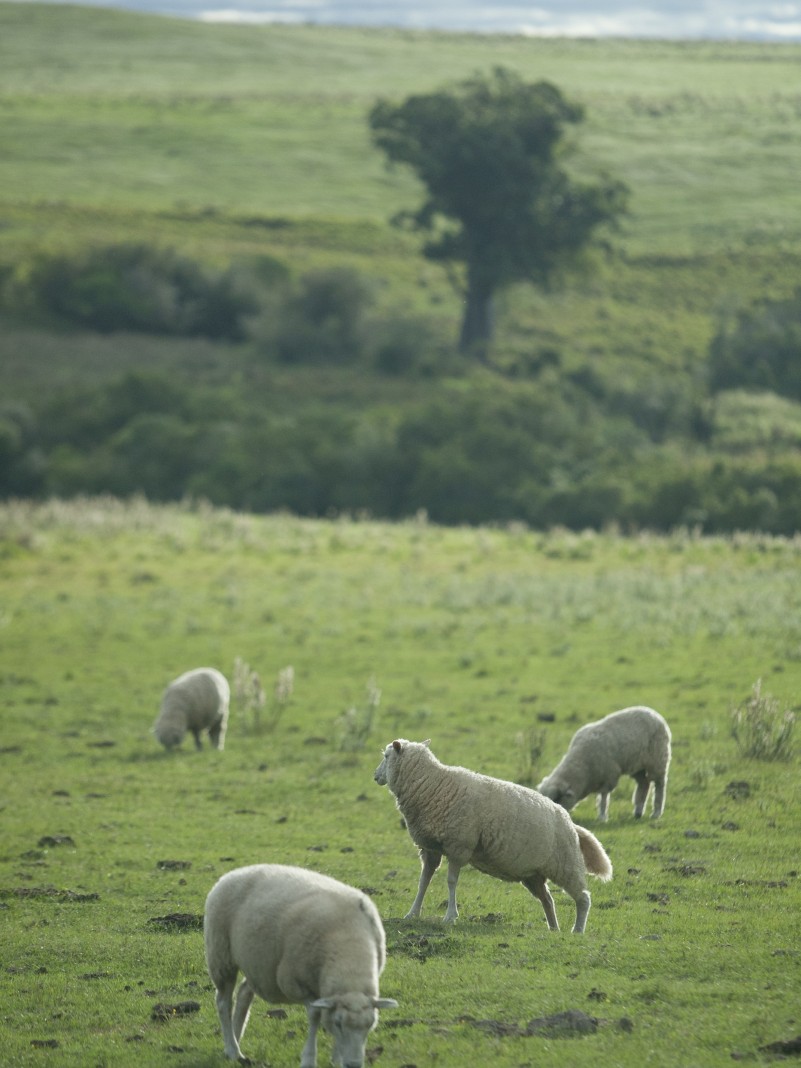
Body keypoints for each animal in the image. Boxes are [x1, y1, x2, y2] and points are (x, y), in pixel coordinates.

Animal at [203, 862, 399, 1063]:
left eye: (371, 1024)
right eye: (338, 1023)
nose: (353, 1065)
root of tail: (233, 873)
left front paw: (336, 1059)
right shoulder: (297, 983)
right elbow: (315, 1016)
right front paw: (309, 1058)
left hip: (258, 964)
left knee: (243, 994)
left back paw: (236, 1038)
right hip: (221, 956)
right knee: (224, 1003)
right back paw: (232, 1048)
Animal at [373, 734, 610, 935]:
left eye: (386, 756)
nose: (375, 776)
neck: (433, 786)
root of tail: (571, 824)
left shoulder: (459, 846)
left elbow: (451, 881)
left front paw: (450, 916)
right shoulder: (430, 848)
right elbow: (423, 881)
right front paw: (412, 913)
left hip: (566, 865)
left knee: (583, 898)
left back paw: (577, 930)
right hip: (533, 874)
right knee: (548, 899)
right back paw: (553, 928)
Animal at [536, 704, 674, 820]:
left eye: (557, 799)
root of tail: (653, 712)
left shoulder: (609, 775)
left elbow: (603, 797)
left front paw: (602, 817)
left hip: (658, 759)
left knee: (660, 784)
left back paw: (656, 813)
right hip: (637, 766)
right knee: (644, 783)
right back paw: (638, 812)